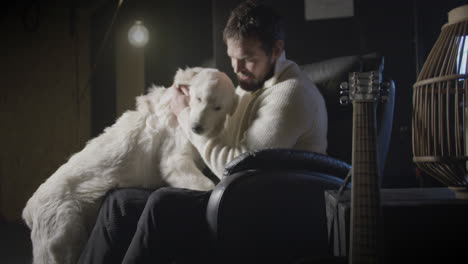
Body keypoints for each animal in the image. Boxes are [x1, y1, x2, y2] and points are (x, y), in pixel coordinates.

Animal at [22, 67, 238, 264]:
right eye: (199, 99)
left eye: (217, 107)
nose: (196, 128)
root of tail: (29, 209)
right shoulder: (175, 160)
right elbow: (207, 185)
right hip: (63, 241)